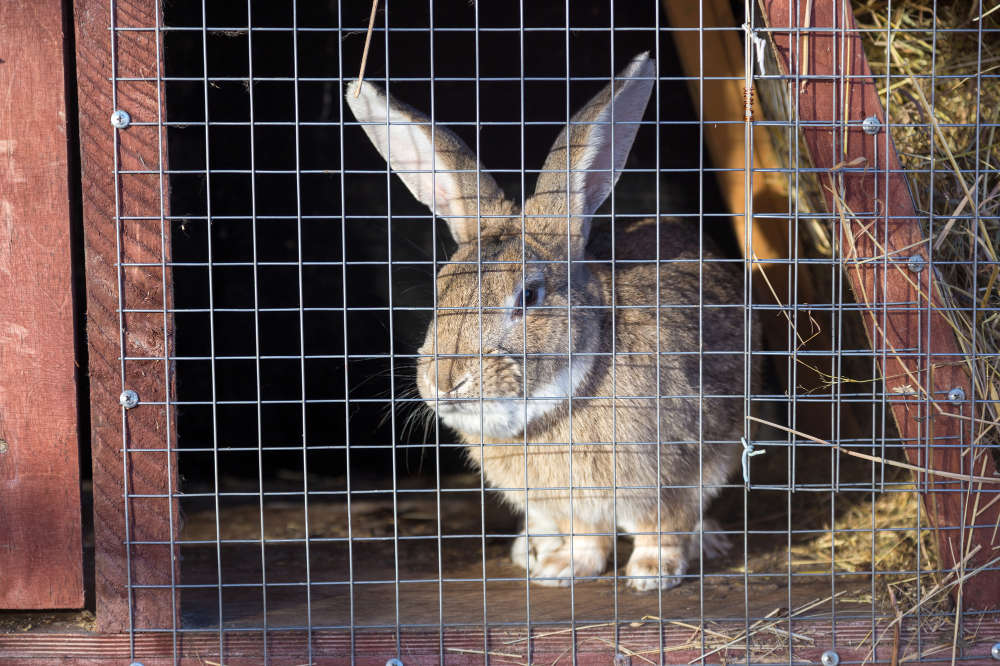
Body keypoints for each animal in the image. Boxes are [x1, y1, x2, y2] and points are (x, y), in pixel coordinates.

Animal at [344, 53, 756, 592]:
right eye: (440, 288)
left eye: (529, 296)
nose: (446, 381)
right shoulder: (574, 506)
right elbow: (587, 538)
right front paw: (561, 571)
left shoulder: (673, 471)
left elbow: (662, 525)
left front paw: (651, 576)